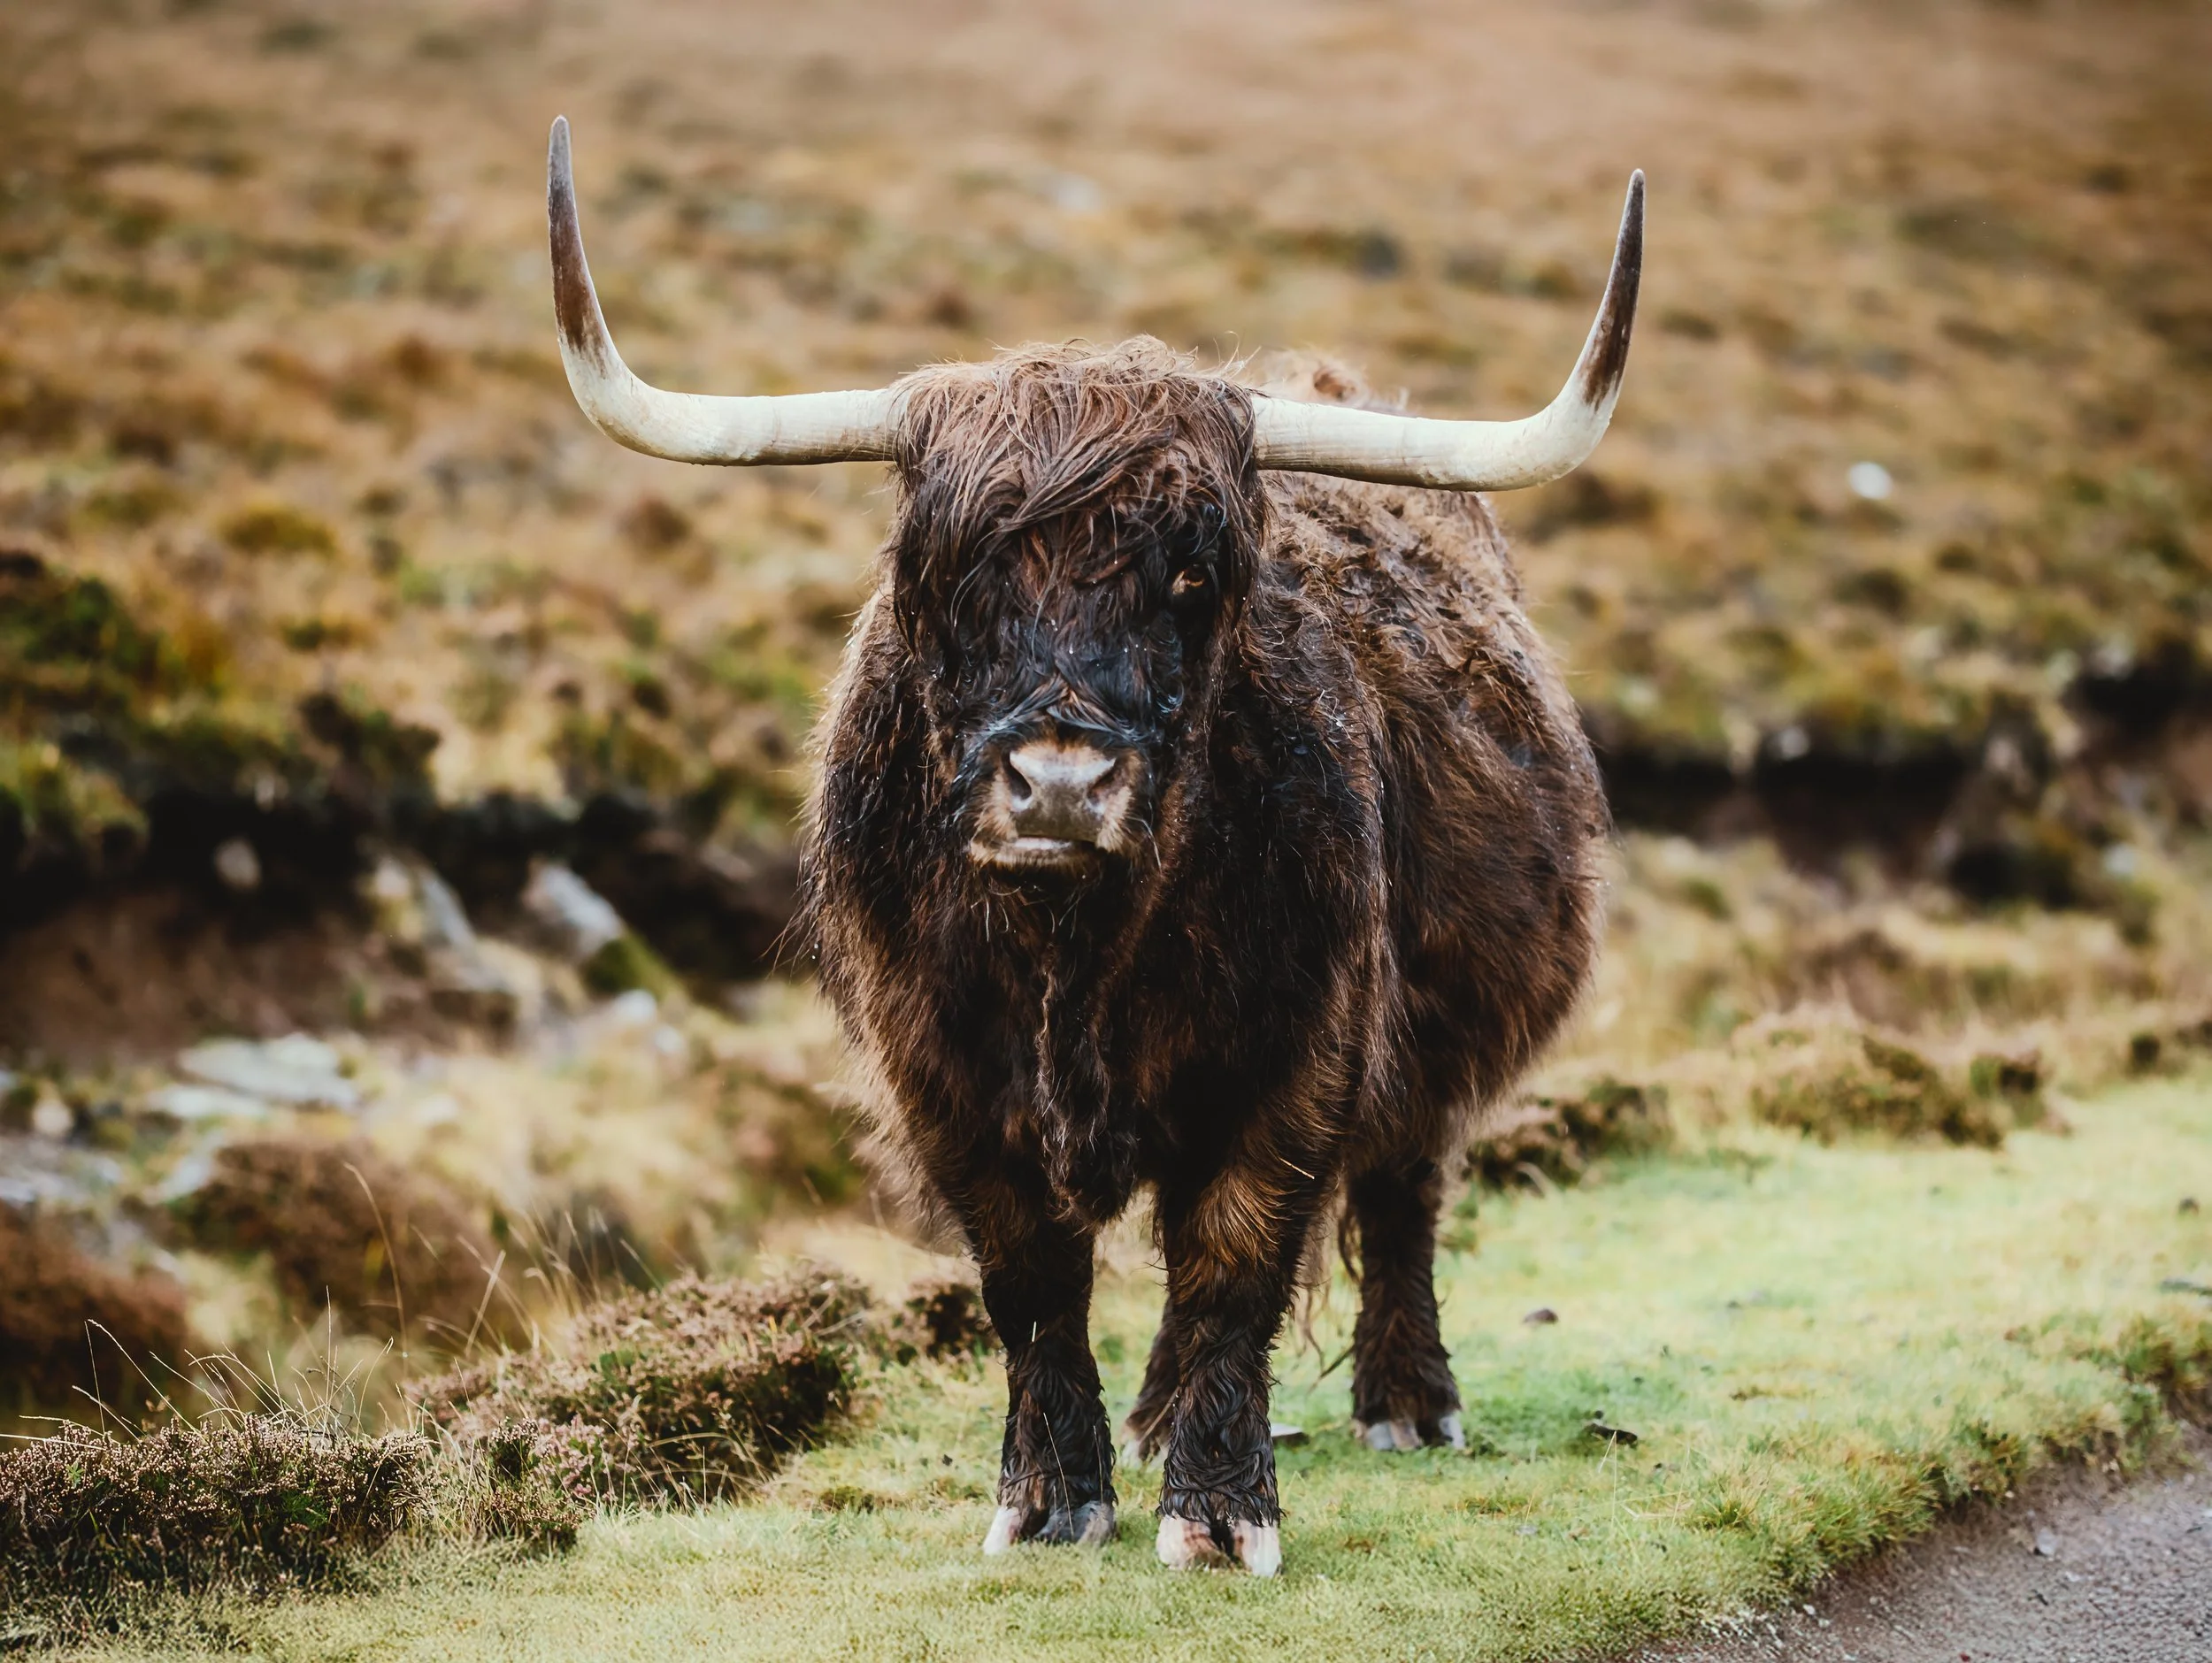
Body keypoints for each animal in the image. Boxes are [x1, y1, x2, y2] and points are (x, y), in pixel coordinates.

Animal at [546, 117, 1640, 1576]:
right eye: (945, 576)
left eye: (1193, 578)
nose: (1060, 784)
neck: (1075, 956)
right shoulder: (940, 1075)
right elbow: (1030, 1281)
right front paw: (1051, 1497)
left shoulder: (1296, 1050)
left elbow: (1234, 1261)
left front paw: (1219, 1516)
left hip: (1431, 1039)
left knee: (1403, 1188)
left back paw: (1406, 1405)